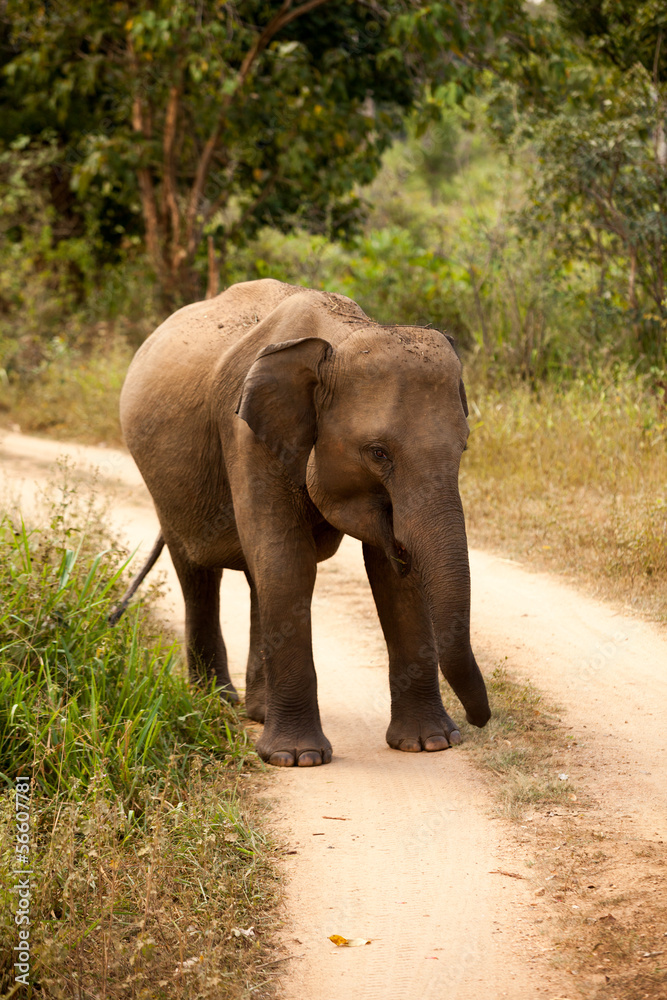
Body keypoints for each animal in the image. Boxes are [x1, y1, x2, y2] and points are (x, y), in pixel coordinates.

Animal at [118, 280, 490, 764]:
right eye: (378, 453)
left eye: (463, 448)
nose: (479, 721)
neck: (339, 336)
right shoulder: (247, 435)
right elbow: (288, 563)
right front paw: (296, 759)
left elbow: (391, 577)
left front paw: (429, 744)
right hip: (165, 483)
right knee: (199, 573)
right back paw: (215, 701)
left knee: (256, 578)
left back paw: (256, 712)